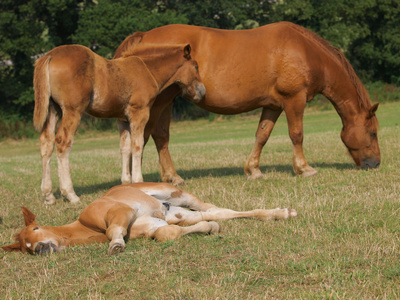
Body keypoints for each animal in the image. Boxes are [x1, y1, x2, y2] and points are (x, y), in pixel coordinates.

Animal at [32, 43, 205, 205]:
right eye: (196, 66)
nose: (202, 92)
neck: (147, 69)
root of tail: (49, 55)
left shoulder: (123, 120)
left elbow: (125, 148)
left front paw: (126, 183)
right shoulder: (139, 113)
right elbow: (137, 146)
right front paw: (138, 181)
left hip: (53, 109)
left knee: (46, 142)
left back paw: (48, 195)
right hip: (72, 110)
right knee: (63, 142)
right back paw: (70, 194)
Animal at [114, 21, 380, 185]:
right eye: (373, 132)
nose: (375, 164)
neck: (306, 51)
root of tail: (143, 37)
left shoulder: (273, 105)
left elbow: (262, 135)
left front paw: (253, 170)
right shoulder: (294, 100)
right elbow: (297, 134)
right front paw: (304, 169)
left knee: (156, 137)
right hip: (161, 101)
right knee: (152, 136)